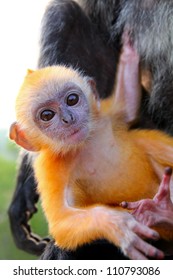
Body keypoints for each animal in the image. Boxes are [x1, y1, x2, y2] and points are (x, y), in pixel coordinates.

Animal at [8, 0, 173, 260]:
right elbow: (63, 222)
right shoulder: (53, 168)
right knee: (63, 12)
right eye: (47, 115)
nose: (68, 119)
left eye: (72, 99)